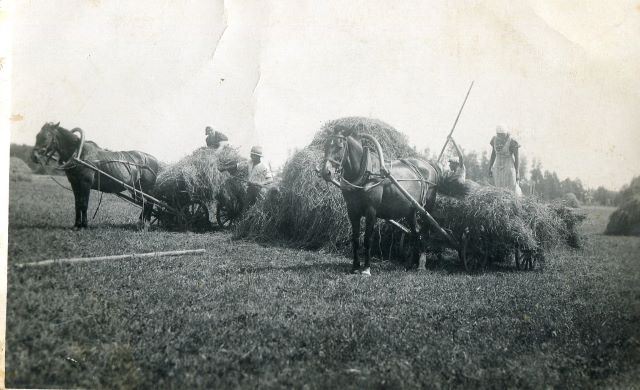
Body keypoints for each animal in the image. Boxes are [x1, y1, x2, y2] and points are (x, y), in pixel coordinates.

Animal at [30, 122, 161, 229]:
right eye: (36, 136)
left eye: (45, 137)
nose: (34, 156)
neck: (79, 154)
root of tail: (154, 160)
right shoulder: (75, 183)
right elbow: (77, 204)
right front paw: (76, 224)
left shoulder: (85, 183)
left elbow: (84, 204)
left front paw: (84, 225)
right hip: (136, 190)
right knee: (145, 203)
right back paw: (140, 223)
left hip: (147, 189)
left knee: (149, 203)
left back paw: (145, 225)